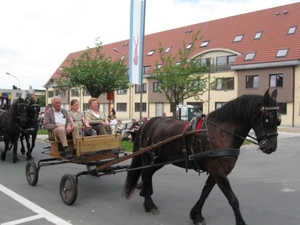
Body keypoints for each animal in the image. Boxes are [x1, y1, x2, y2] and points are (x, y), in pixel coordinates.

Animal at [123, 89, 282, 225]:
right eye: (267, 119)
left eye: (279, 120)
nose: (271, 148)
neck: (221, 132)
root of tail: (146, 124)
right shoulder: (219, 173)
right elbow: (233, 199)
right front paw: (240, 222)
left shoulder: (216, 172)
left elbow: (205, 192)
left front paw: (196, 215)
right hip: (148, 158)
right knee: (146, 174)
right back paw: (149, 203)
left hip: (161, 160)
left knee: (148, 175)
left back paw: (146, 194)